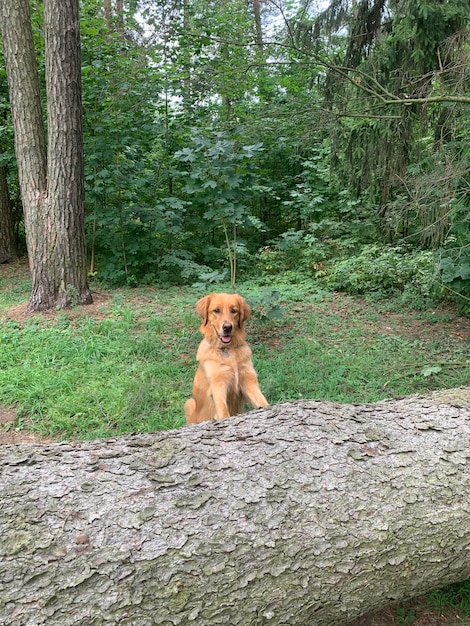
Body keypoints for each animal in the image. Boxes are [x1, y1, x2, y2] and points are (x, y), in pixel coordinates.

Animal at [186, 294, 270, 424]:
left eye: (234, 311)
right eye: (216, 310)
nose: (227, 327)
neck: (227, 350)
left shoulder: (247, 378)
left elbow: (260, 399)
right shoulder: (218, 382)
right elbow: (222, 407)